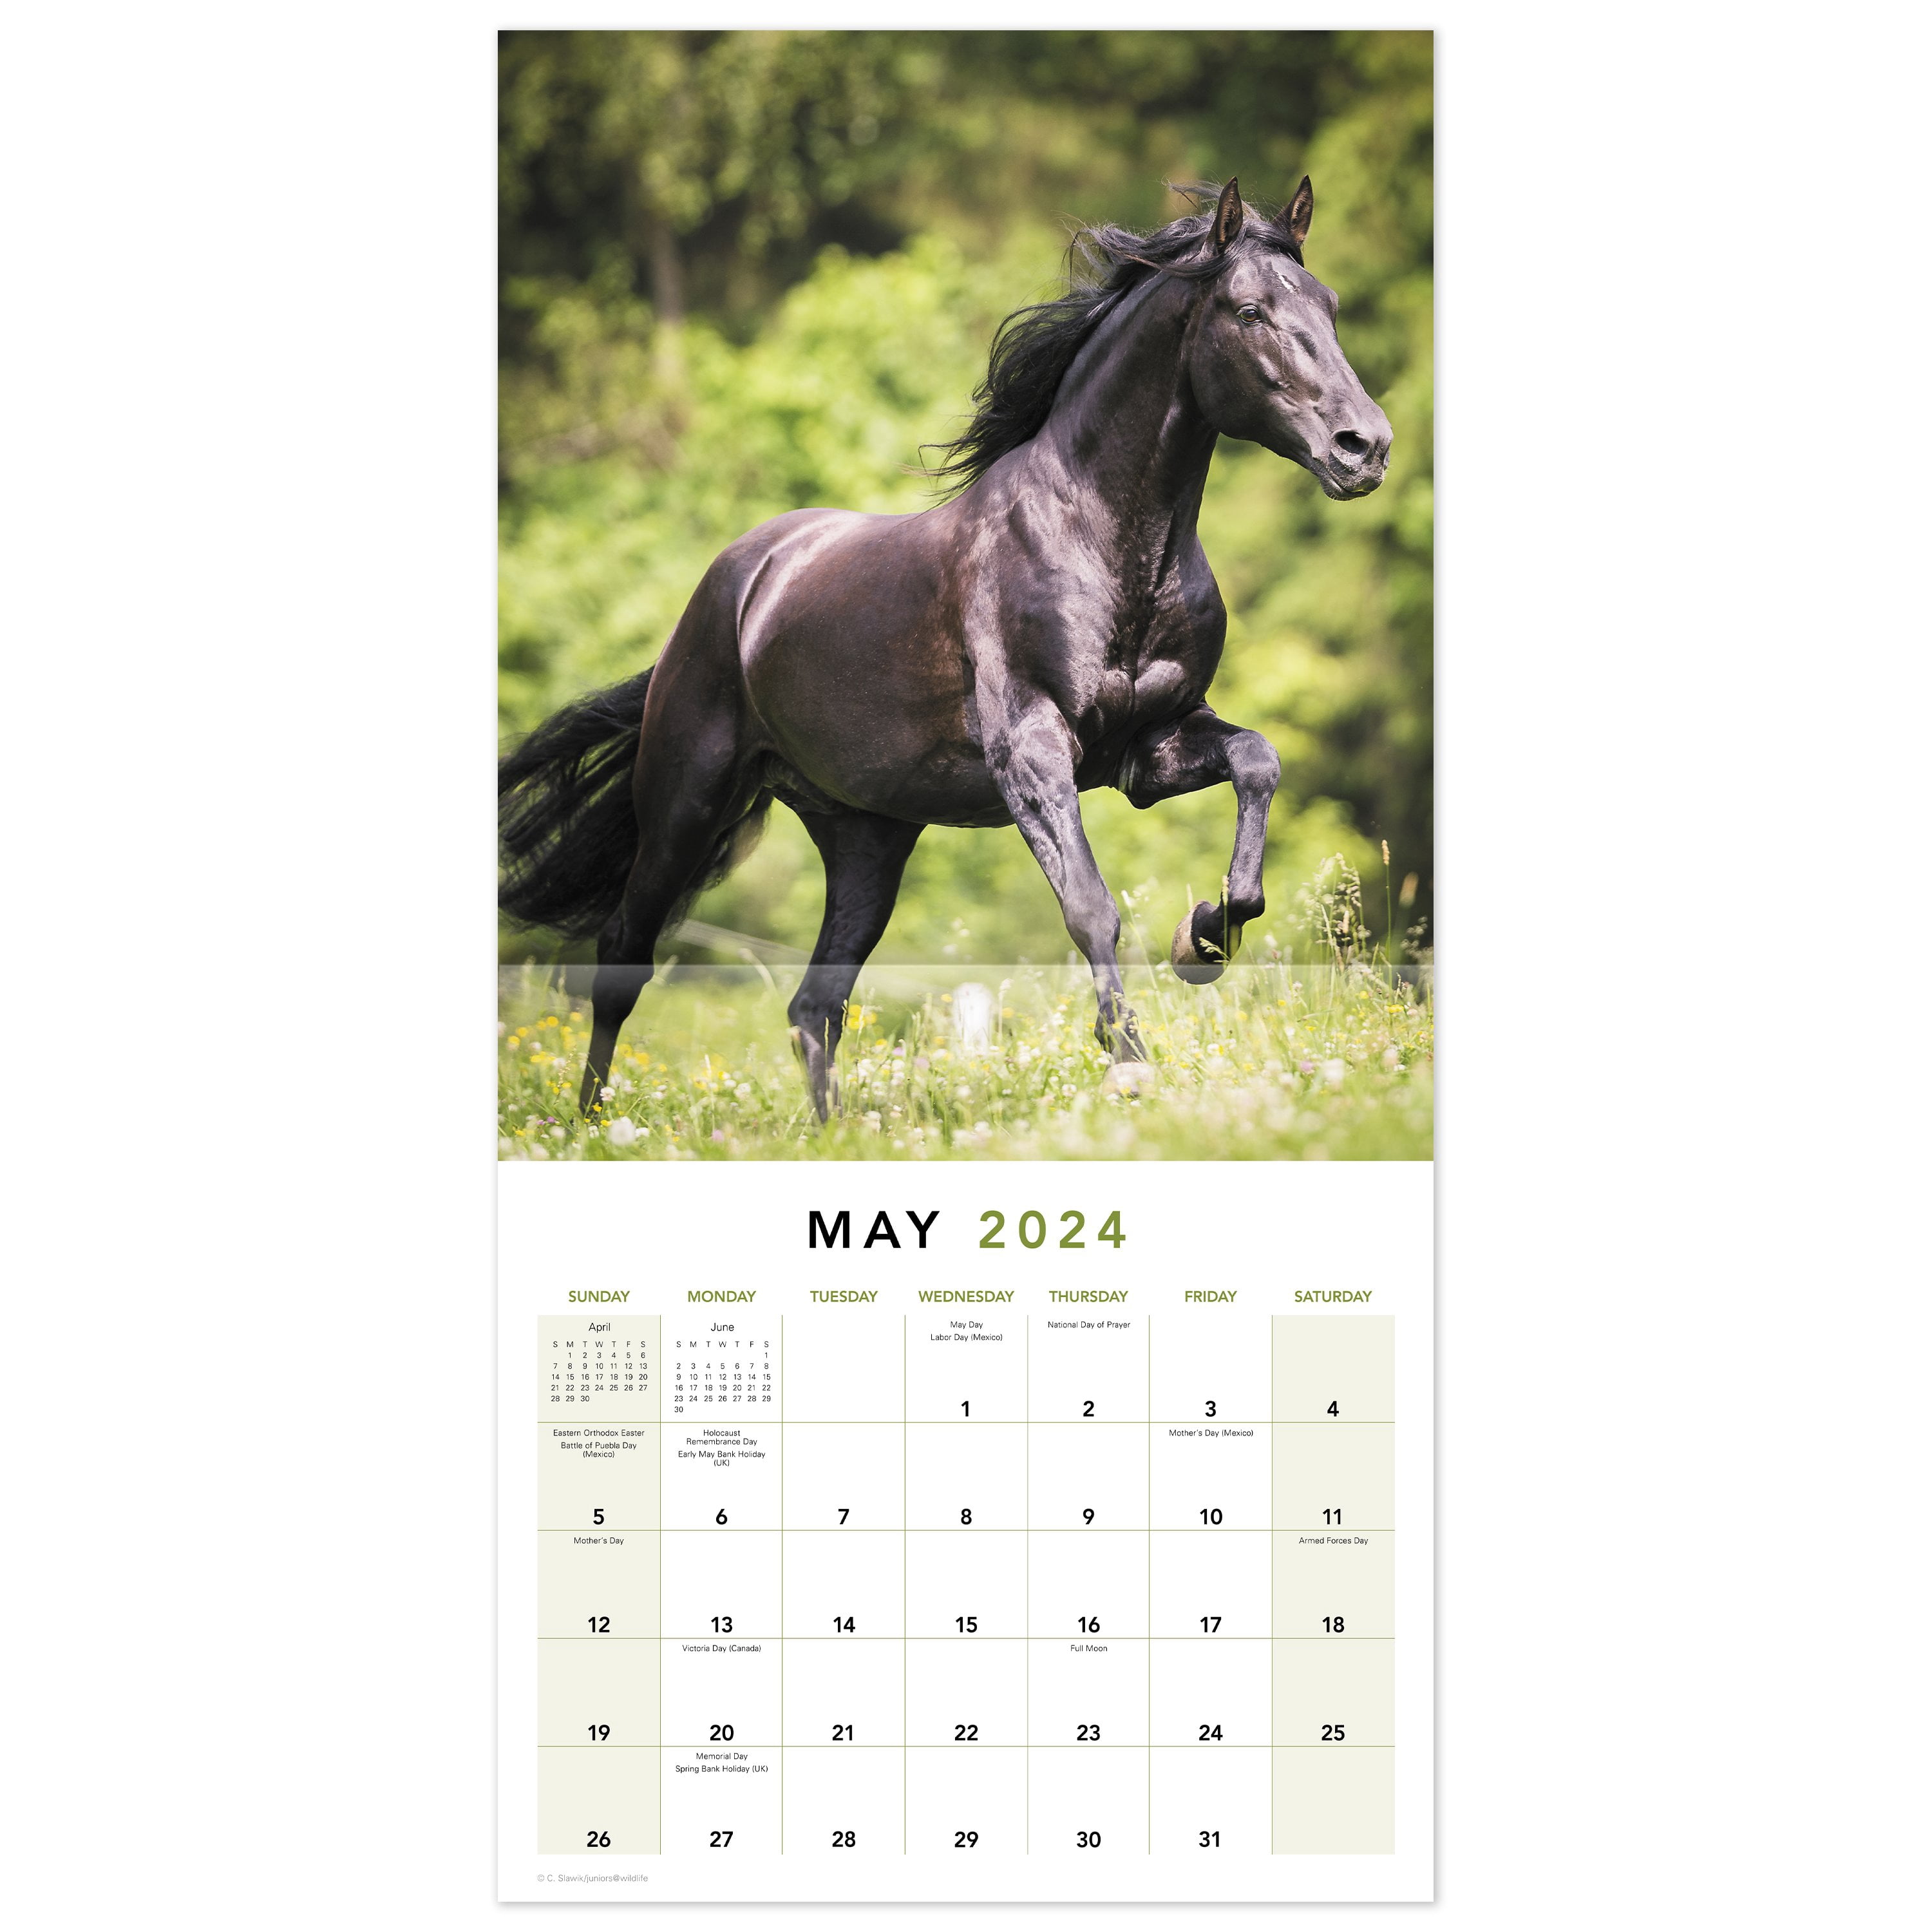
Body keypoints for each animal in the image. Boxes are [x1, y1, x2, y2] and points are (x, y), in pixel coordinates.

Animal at [499, 177, 1391, 1121]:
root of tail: (735, 586)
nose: (1365, 447)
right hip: (685, 803)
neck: (1104, 541)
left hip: (866, 838)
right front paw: (1131, 1065)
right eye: (1250, 311)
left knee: (814, 1005)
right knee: (623, 957)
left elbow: (1258, 763)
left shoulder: (1151, 748)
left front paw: (1205, 939)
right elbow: (1091, 908)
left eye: (1330, 305)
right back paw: (594, 1124)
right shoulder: (1031, 752)